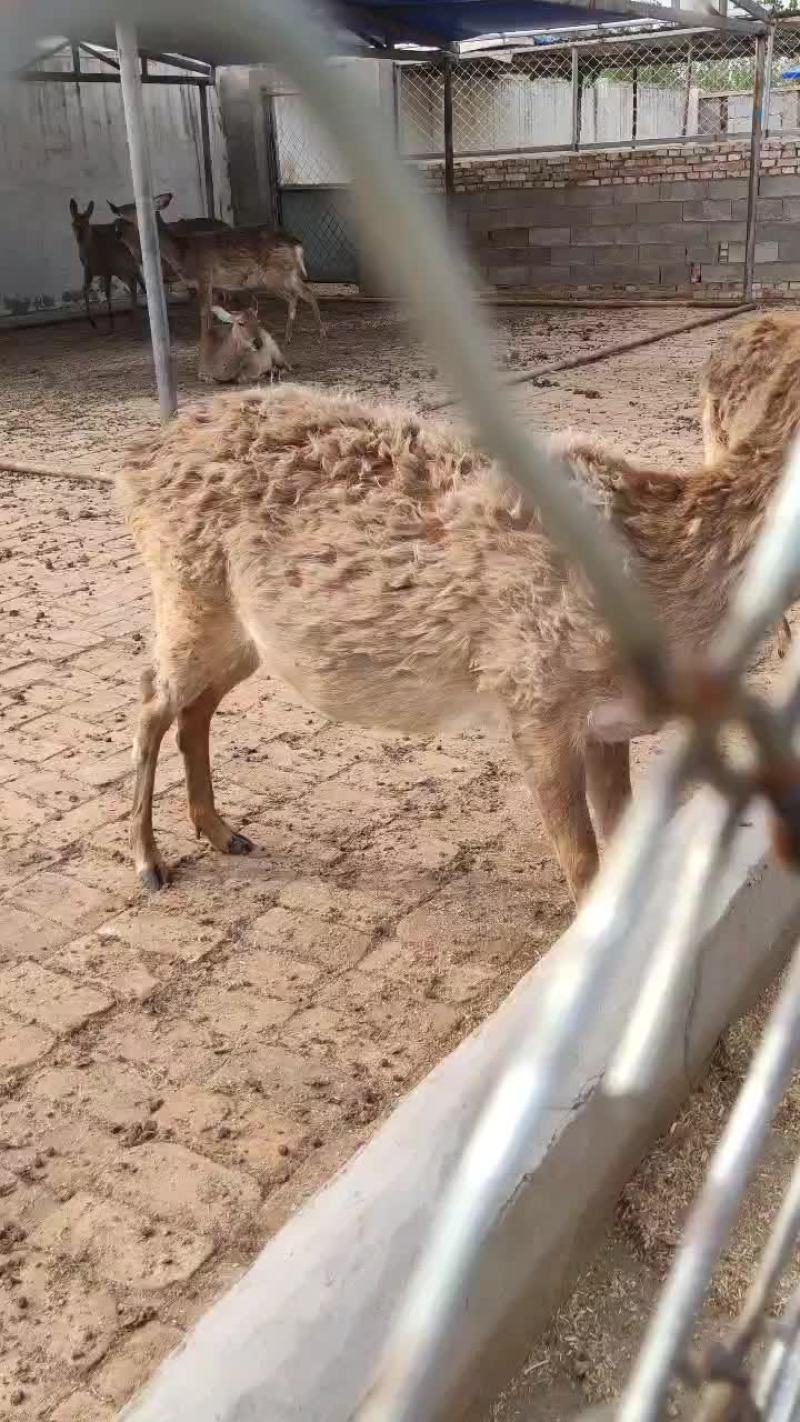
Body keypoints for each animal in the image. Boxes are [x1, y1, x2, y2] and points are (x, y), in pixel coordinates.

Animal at [68, 198, 142, 330]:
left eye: (87, 223)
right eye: (74, 224)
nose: (79, 238)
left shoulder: (105, 268)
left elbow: (104, 292)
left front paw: (105, 320)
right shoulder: (92, 269)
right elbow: (87, 289)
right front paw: (97, 321)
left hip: (124, 268)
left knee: (134, 286)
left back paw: (133, 317)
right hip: (124, 270)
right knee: (135, 285)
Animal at [110, 194, 324, 343]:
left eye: (134, 205)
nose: (115, 208)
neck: (181, 252)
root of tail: (296, 245)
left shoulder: (204, 276)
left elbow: (204, 311)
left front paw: (203, 339)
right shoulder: (212, 283)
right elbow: (212, 310)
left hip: (273, 275)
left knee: (294, 296)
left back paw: (293, 336)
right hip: (290, 273)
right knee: (308, 292)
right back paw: (318, 332)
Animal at [117, 382, 794, 904]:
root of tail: (139, 460)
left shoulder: (608, 722)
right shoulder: (532, 700)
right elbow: (582, 864)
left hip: (241, 636)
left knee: (194, 710)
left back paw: (221, 831)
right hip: (186, 594)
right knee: (151, 702)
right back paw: (149, 862)